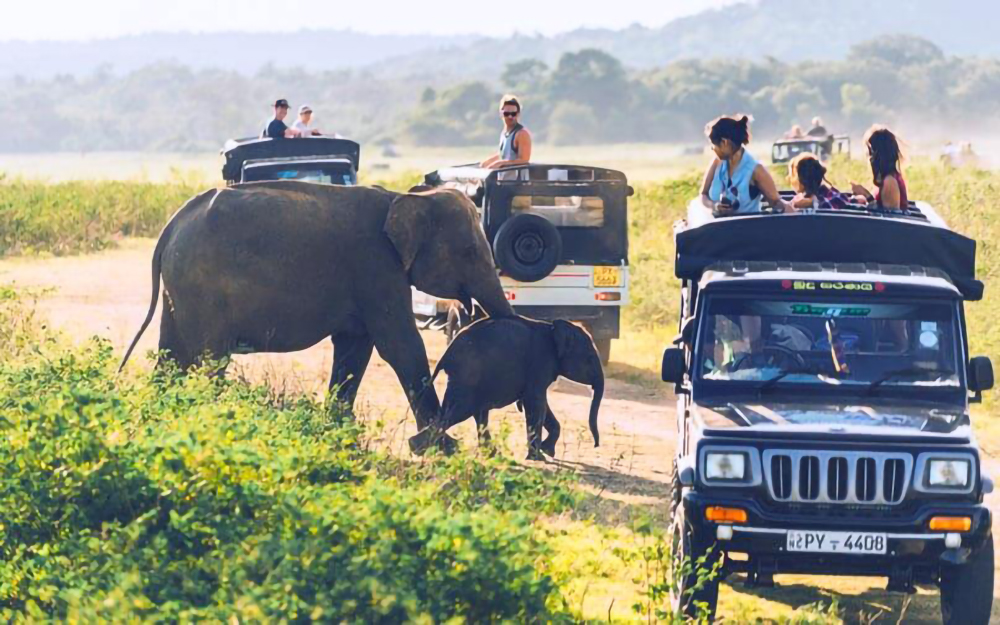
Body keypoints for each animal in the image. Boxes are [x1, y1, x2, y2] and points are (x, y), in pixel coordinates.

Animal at [122, 180, 516, 428]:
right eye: (469, 252)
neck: (407, 197)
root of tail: (172, 225)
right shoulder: (376, 265)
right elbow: (400, 345)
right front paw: (439, 444)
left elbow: (355, 346)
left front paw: (340, 430)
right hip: (203, 286)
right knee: (209, 357)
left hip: (181, 287)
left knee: (171, 353)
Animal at [406, 316, 600, 458]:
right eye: (590, 358)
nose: (596, 445)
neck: (554, 328)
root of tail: (446, 354)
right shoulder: (540, 362)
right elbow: (536, 402)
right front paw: (539, 457)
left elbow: (538, 403)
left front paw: (547, 452)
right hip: (467, 376)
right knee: (458, 412)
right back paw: (419, 448)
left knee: (471, 412)